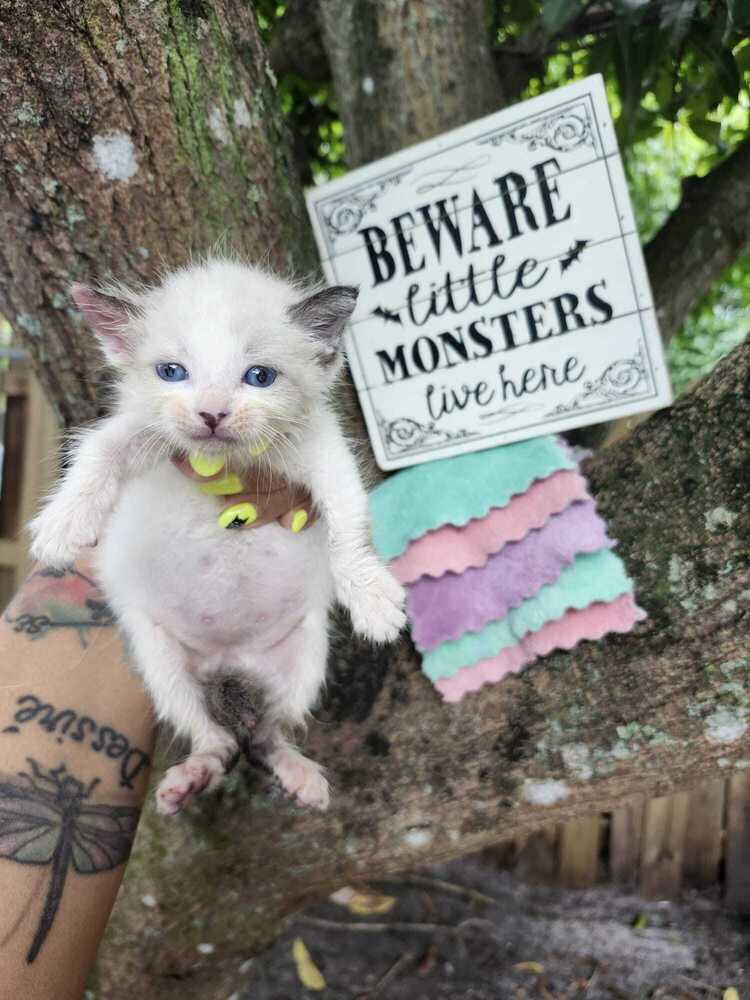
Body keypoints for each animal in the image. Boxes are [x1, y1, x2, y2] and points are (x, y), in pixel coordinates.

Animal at [29, 256, 406, 812]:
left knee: (265, 735)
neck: (225, 461)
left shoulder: (321, 448)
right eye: (171, 372)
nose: (211, 413)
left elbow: (346, 517)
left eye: (259, 377)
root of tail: (230, 656)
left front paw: (371, 598)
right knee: (217, 738)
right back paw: (193, 775)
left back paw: (297, 775)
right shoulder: (138, 427)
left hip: (305, 653)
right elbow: (98, 451)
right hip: (159, 658)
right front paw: (63, 525)